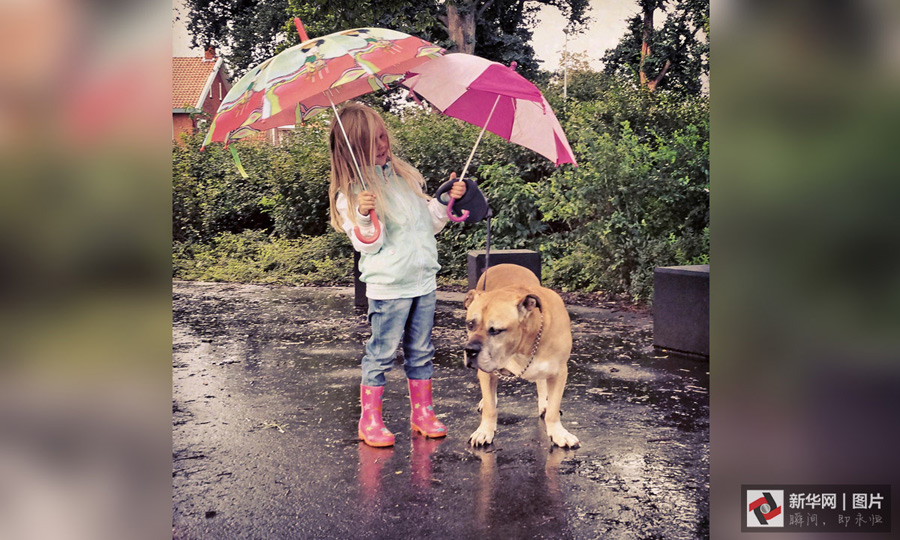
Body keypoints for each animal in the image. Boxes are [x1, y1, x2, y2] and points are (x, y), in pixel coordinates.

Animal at [460, 264, 580, 448]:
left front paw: (558, 433)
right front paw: (484, 431)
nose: (470, 350)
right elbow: (490, 408)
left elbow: (553, 410)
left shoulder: (559, 372)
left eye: (496, 330)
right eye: (470, 324)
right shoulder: (487, 372)